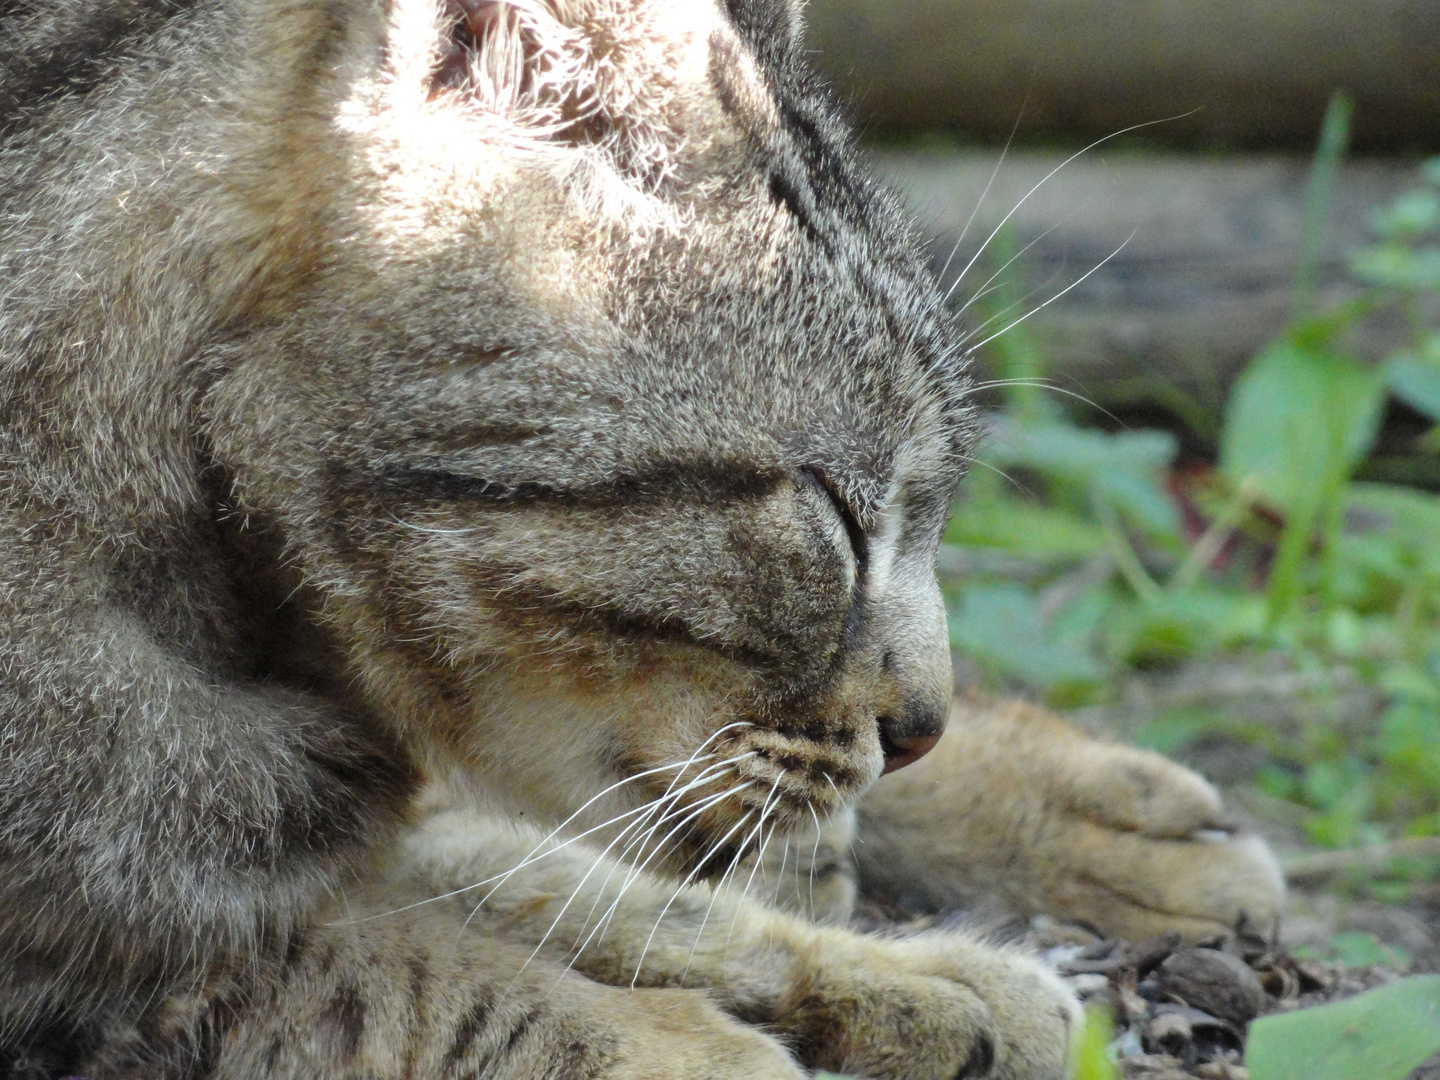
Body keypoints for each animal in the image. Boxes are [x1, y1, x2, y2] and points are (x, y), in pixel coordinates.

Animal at [0, 0, 1284, 1077]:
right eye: (836, 514)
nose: (923, 730)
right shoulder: (100, 975)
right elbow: (393, 962)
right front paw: (706, 1036)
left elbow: (513, 893)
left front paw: (890, 971)